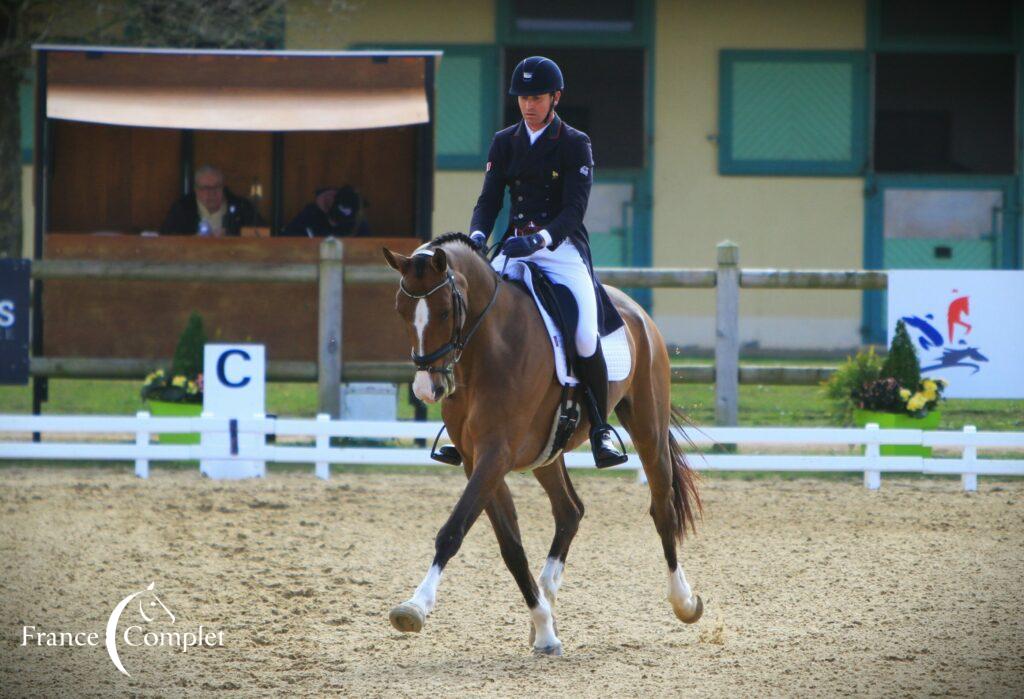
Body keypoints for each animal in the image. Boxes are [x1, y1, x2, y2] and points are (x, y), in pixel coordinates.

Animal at [385, 233, 704, 654]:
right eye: (402, 311)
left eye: (443, 312)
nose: (427, 389)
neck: (487, 348)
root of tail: (635, 310)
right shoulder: (477, 460)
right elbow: (510, 546)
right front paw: (545, 628)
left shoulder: (495, 455)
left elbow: (453, 530)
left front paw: (415, 606)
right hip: (547, 454)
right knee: (570, 511)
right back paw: (546, 601)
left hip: (648, 427)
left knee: (662, 507)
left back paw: (684, 601)